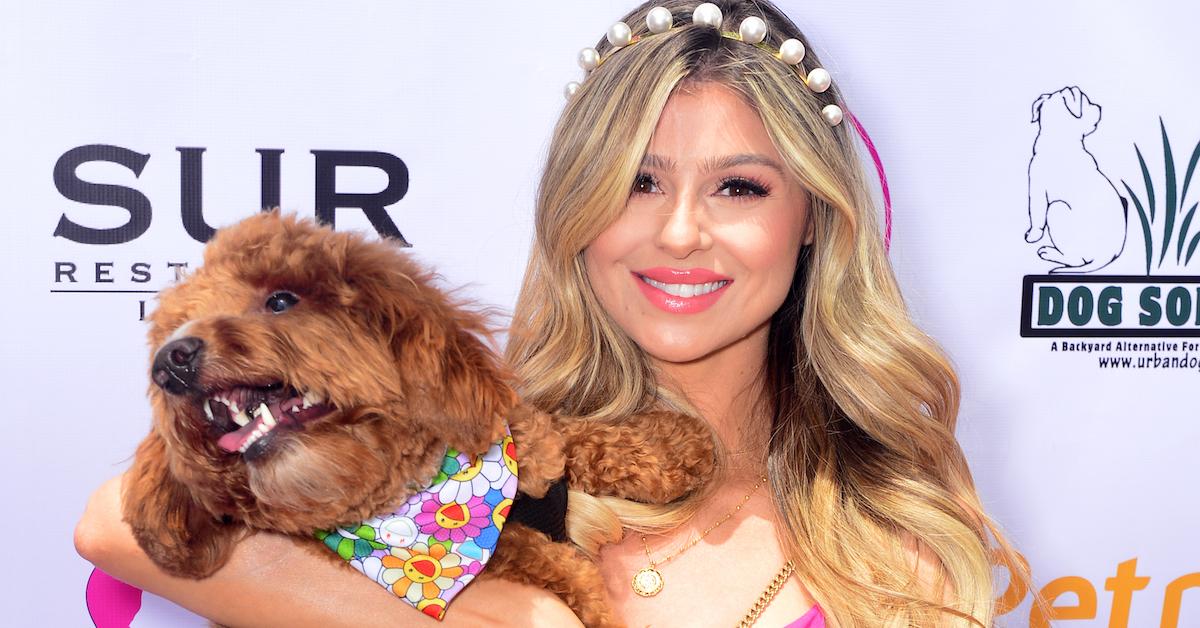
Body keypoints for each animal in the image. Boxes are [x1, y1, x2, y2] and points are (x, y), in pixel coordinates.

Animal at [124, 211, 710, 628]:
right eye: (171, 329)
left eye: (281, 300)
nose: (171, 362)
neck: (429, 493)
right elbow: (547, 566)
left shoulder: (532, 444)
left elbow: (570, 435)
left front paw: (677, 446)